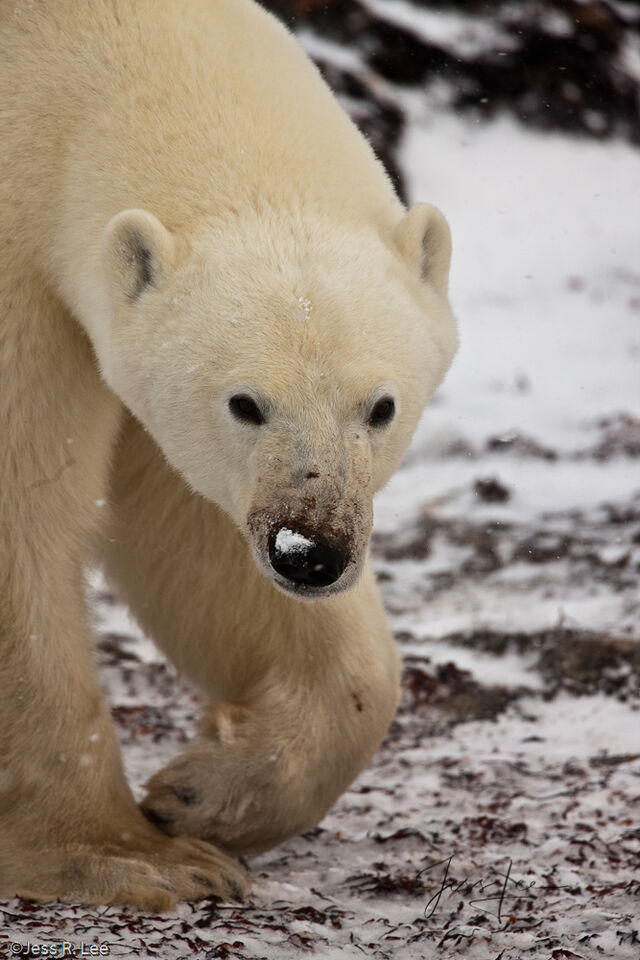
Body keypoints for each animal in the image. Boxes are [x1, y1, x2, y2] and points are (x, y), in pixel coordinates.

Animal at [0, 0, 457, 910]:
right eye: (246, 403)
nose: (311, 552)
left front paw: (203, 796)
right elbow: (24, 506)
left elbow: (190, 530)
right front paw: (127, 856)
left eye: (380, 406)